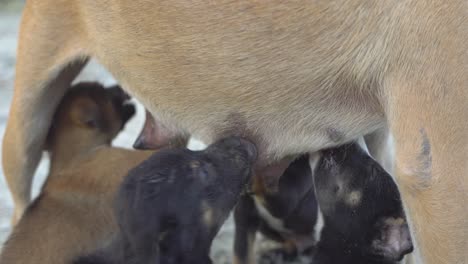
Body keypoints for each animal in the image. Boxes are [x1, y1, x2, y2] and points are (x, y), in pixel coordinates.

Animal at [232, 142, 412, 264]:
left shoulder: (285, 202)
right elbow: (241, 254)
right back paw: (276, 253)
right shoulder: (244, 219)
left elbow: (266, 186)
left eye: (372, 170)